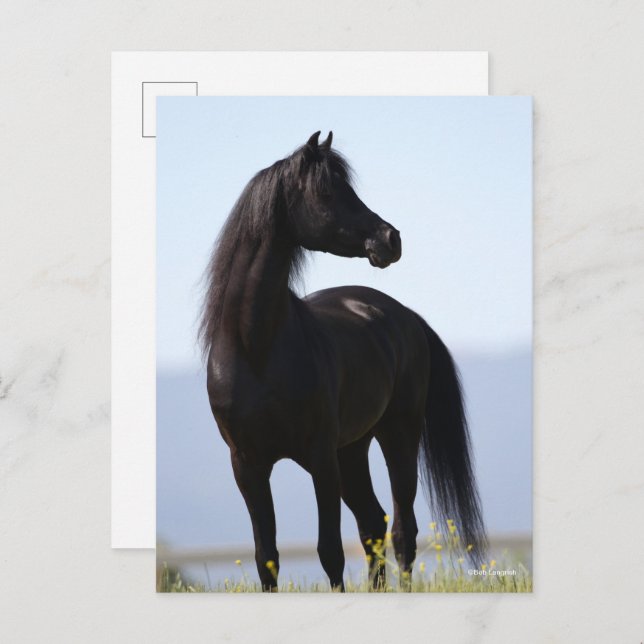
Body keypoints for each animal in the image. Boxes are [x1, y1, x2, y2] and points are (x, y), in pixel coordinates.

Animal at [199, 131, 486, 591]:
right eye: (326, 192)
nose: (391, 239)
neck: (256, 350)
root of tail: (406, 315)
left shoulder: (319, 458)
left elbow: (330, 552)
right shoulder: (247, 465)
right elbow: (266, 557)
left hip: (397, 436)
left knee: (402, 531)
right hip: (353, 450)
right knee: (373, 523)